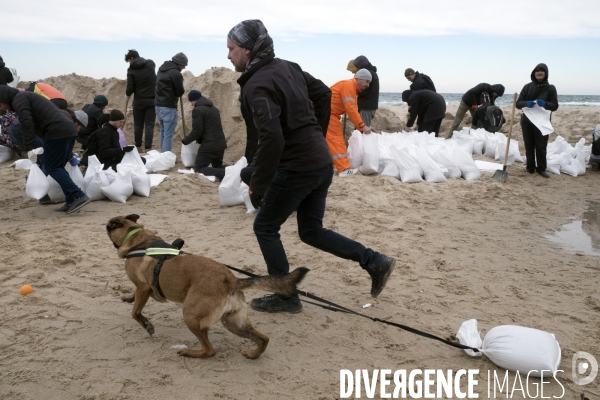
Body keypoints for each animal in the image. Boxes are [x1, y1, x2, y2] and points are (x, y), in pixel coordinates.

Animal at [105, 216, 308, 360]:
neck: (137, 239)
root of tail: (231, 280)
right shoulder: (141, 289)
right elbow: (134, 299)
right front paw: (129, 297)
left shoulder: (143, 288)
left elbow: (135, 313)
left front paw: (147, 324)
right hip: (233, 323)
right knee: (263, 338)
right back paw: (253, 354)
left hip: (191, 316)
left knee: (210, 351)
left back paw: (190, 352)